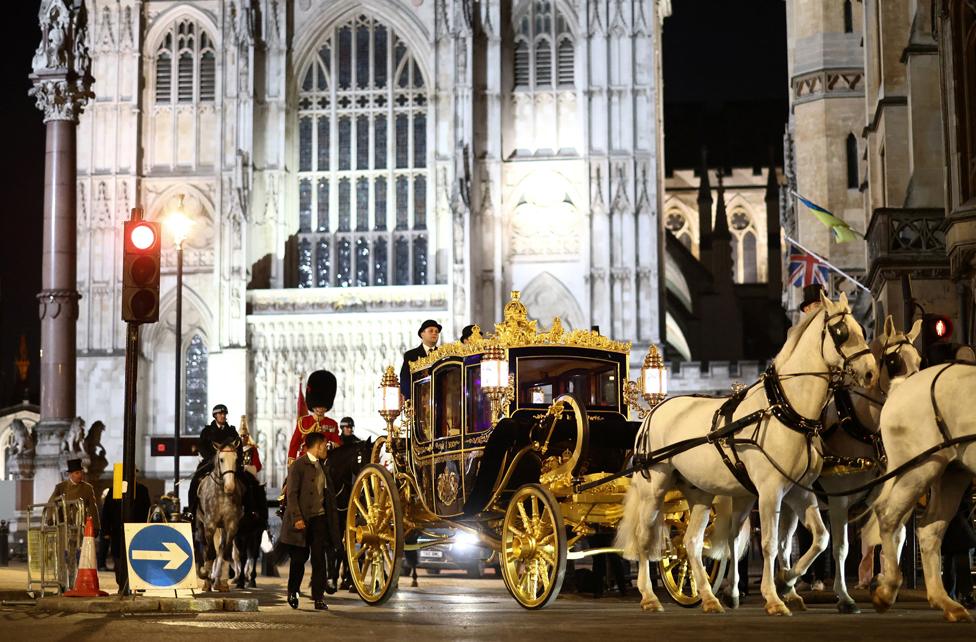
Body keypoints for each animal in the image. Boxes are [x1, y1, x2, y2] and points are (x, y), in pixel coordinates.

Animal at [196, 440, 244, 592]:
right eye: (221, 459)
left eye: (236, 459)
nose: (230, 487)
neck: (222, 494)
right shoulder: (209, 525)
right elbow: (210, 552)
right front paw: (205, 574)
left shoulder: (231, 525)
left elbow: (226, 553)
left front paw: (221, 581)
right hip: (203, 525)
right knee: (208, 549)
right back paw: (208, 580)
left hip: (222, 527)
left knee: (221, 550)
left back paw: (217, 581)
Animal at [616, 292, 876, 616]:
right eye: (840, 332)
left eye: (861, 329)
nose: (871, 372)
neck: (785, 410)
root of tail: (654, 410)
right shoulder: (770, 491)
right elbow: (770, 543)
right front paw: (774, 596)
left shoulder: (799, 491)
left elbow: (820, 539)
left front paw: (787, 581)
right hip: (654, 487)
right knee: (645, 538)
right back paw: (649, 596)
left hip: (699, 492)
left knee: (691, 542)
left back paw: (709, 597)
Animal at [772, 316, 920, 608]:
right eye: (894, 360)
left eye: (919, 359)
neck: (859, 425)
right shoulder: (838, 500)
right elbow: (841, 547)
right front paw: (843, 595)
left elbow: (896, 538)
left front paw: (885, 584)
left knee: (783, 543)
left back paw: (790, 589)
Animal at [868, 360, 976, 620]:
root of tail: (901, 387)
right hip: (919, 469)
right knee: (888, 516)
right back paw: (887, 590)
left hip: (952, 474)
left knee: (929, 531)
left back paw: (945, 602)